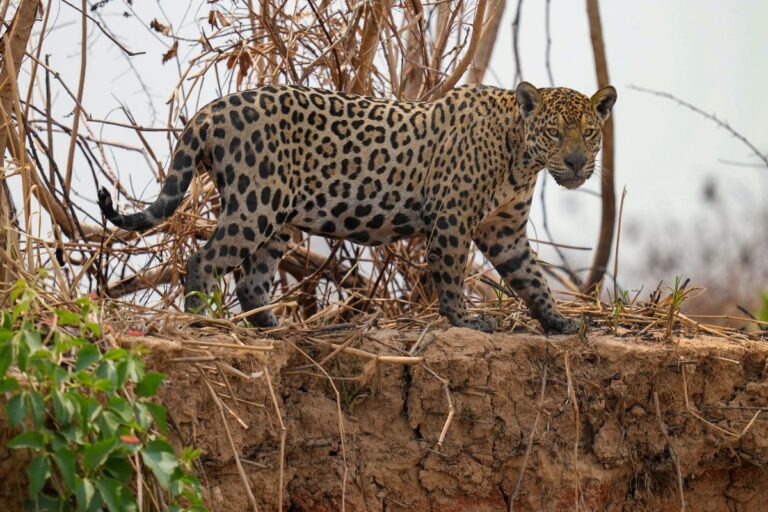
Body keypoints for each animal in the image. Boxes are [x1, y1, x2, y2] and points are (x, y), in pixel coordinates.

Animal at [98, 81, 616, 333]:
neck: (521, 158)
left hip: (277, 218)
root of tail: (210, 111)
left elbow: (531, 278)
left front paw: (559, 322)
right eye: (555, 133)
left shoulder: (504, 230)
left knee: (251, 280)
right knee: (204, 261)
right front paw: (465, 320)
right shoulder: (452, 219)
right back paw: (205, 321)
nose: (576, 163)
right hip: (255, 205)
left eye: (590, 133)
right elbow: (450, 272)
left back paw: (271, 328)